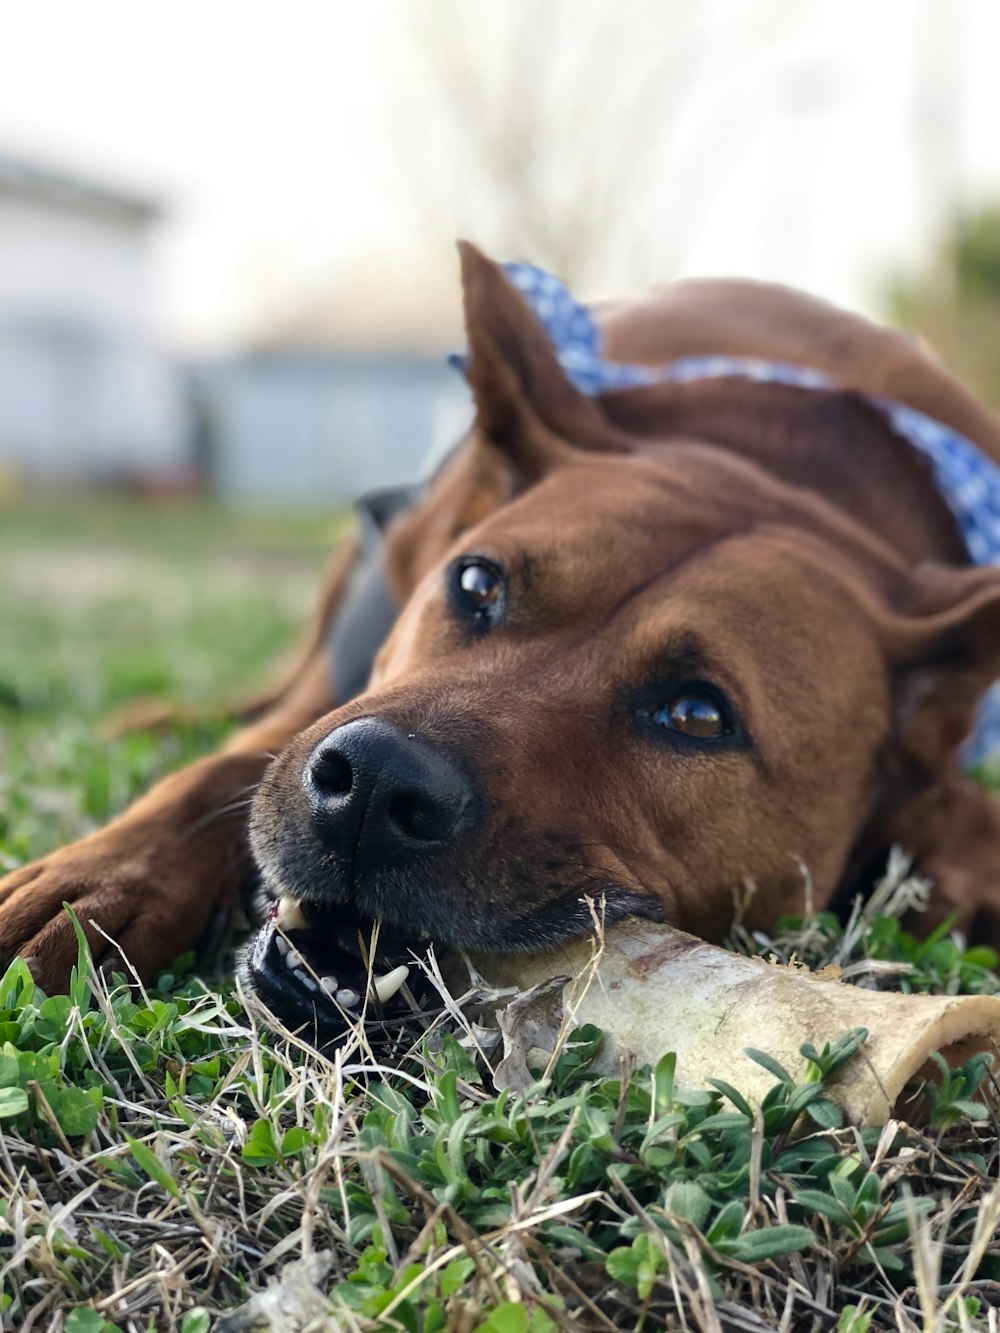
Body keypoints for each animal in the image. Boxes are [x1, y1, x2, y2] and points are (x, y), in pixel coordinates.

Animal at [1, 245, 1000, 1029]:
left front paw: (956, 843)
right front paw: (97, 878)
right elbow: (226, 769)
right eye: (477, 583)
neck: (788, 461)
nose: (373, 785)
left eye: (698, 715)